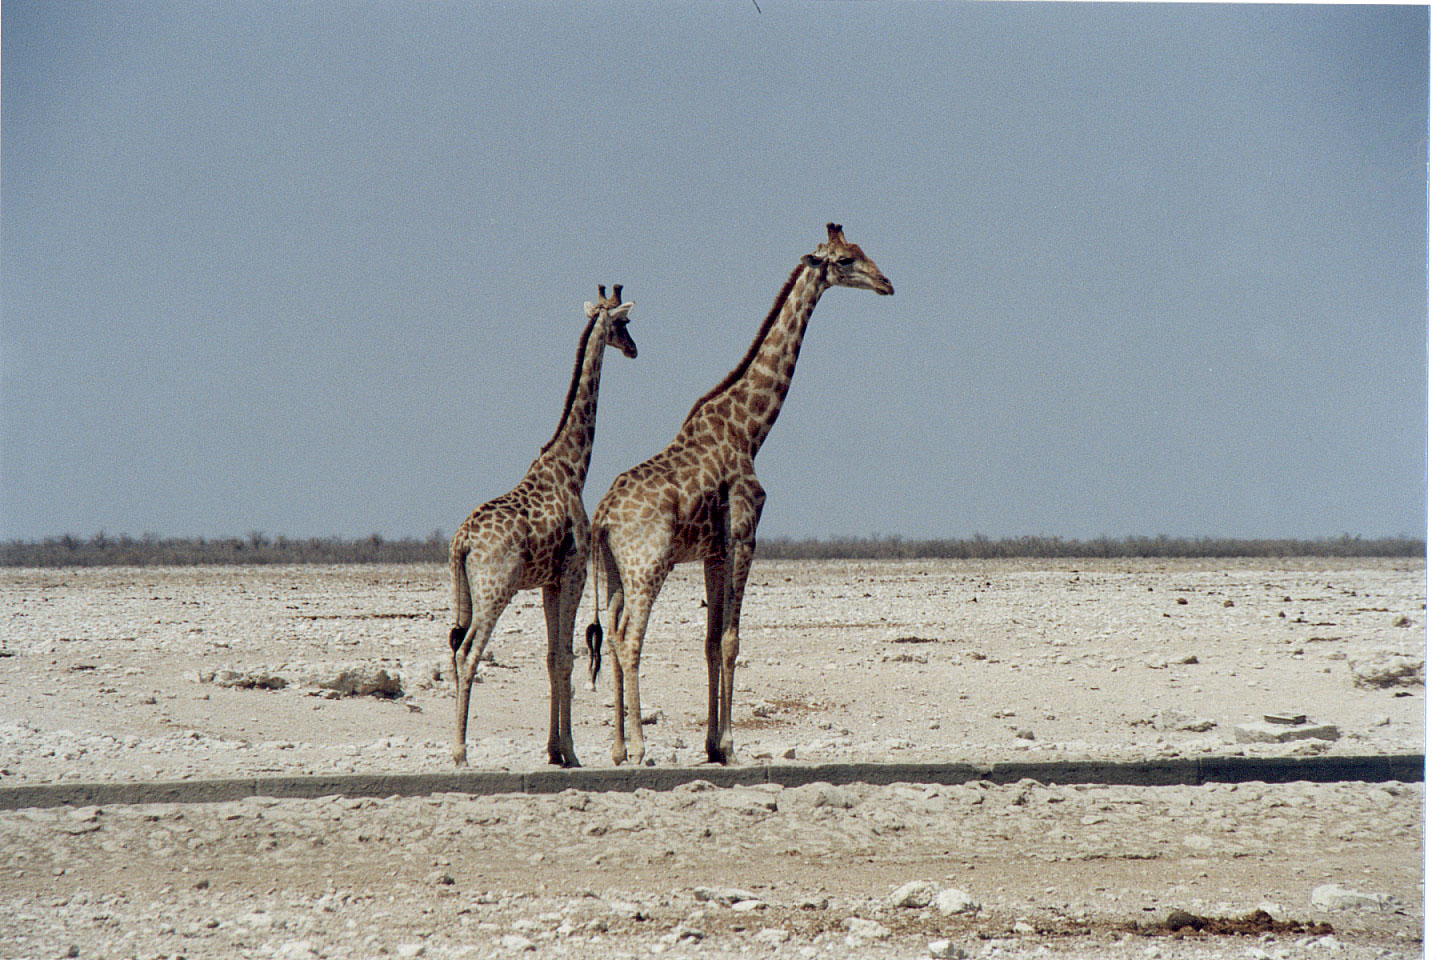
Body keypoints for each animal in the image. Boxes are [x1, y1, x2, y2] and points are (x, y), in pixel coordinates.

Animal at [443, 283, 636, 765]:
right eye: (625, 323)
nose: (634, 349)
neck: (573, 467)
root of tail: (461, 542)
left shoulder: (549, 580)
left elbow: (552, 658)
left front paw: (554, 751)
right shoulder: (574, 572)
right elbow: (566, 657)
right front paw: (570, 752)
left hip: (466, 592)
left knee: (453, 647)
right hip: (495, 589)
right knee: (469, 653)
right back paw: (461, 753)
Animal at [590, 223, 892, 765]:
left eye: (860, 251)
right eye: (844, 260)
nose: (886, 283)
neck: (750, 430)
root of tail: (601, 515)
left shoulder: (713, 550)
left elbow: (710, 641)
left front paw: (712, 744)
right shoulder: (744, 535)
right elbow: (730, 639)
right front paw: (729, 745)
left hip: (615, 569)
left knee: (613, 637)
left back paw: (620, 748)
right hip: (648, 564)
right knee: (628, 640)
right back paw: (641, 747)